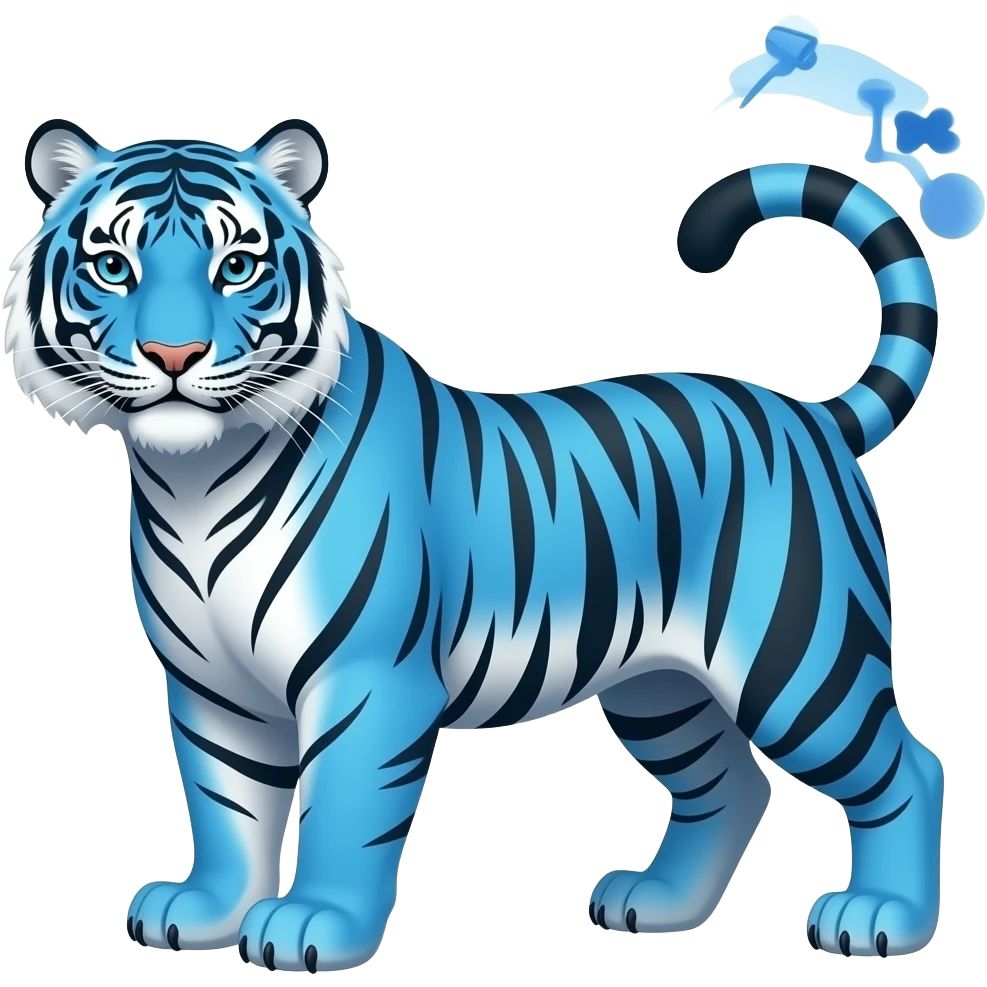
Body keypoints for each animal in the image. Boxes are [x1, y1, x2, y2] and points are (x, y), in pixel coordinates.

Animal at [3, 118, 944, 970]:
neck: (193, 479)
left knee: (906, 769)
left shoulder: (368, 678)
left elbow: (345, 806)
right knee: (730, 784)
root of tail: (811, 415)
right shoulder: (213, 685)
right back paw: (657, 902)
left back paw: (878, 918)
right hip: (660, 686)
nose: (172, 353)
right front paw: (204, 911)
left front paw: (313, 926)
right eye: (112, 267)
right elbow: (225, 801)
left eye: (236, 267)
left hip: (798, 663)